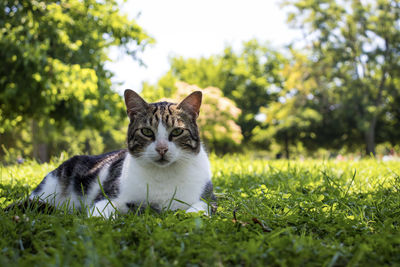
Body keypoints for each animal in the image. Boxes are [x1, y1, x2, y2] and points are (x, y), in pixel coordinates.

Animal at [27, 89, 216, 219]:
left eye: (177, 131)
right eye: (146, 131)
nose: (162, 149)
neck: (163, 176)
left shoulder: (209, 199)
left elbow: (199, 209)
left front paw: (189, 216)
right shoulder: (110, 196)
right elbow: (99, 212)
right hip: (49, 187)